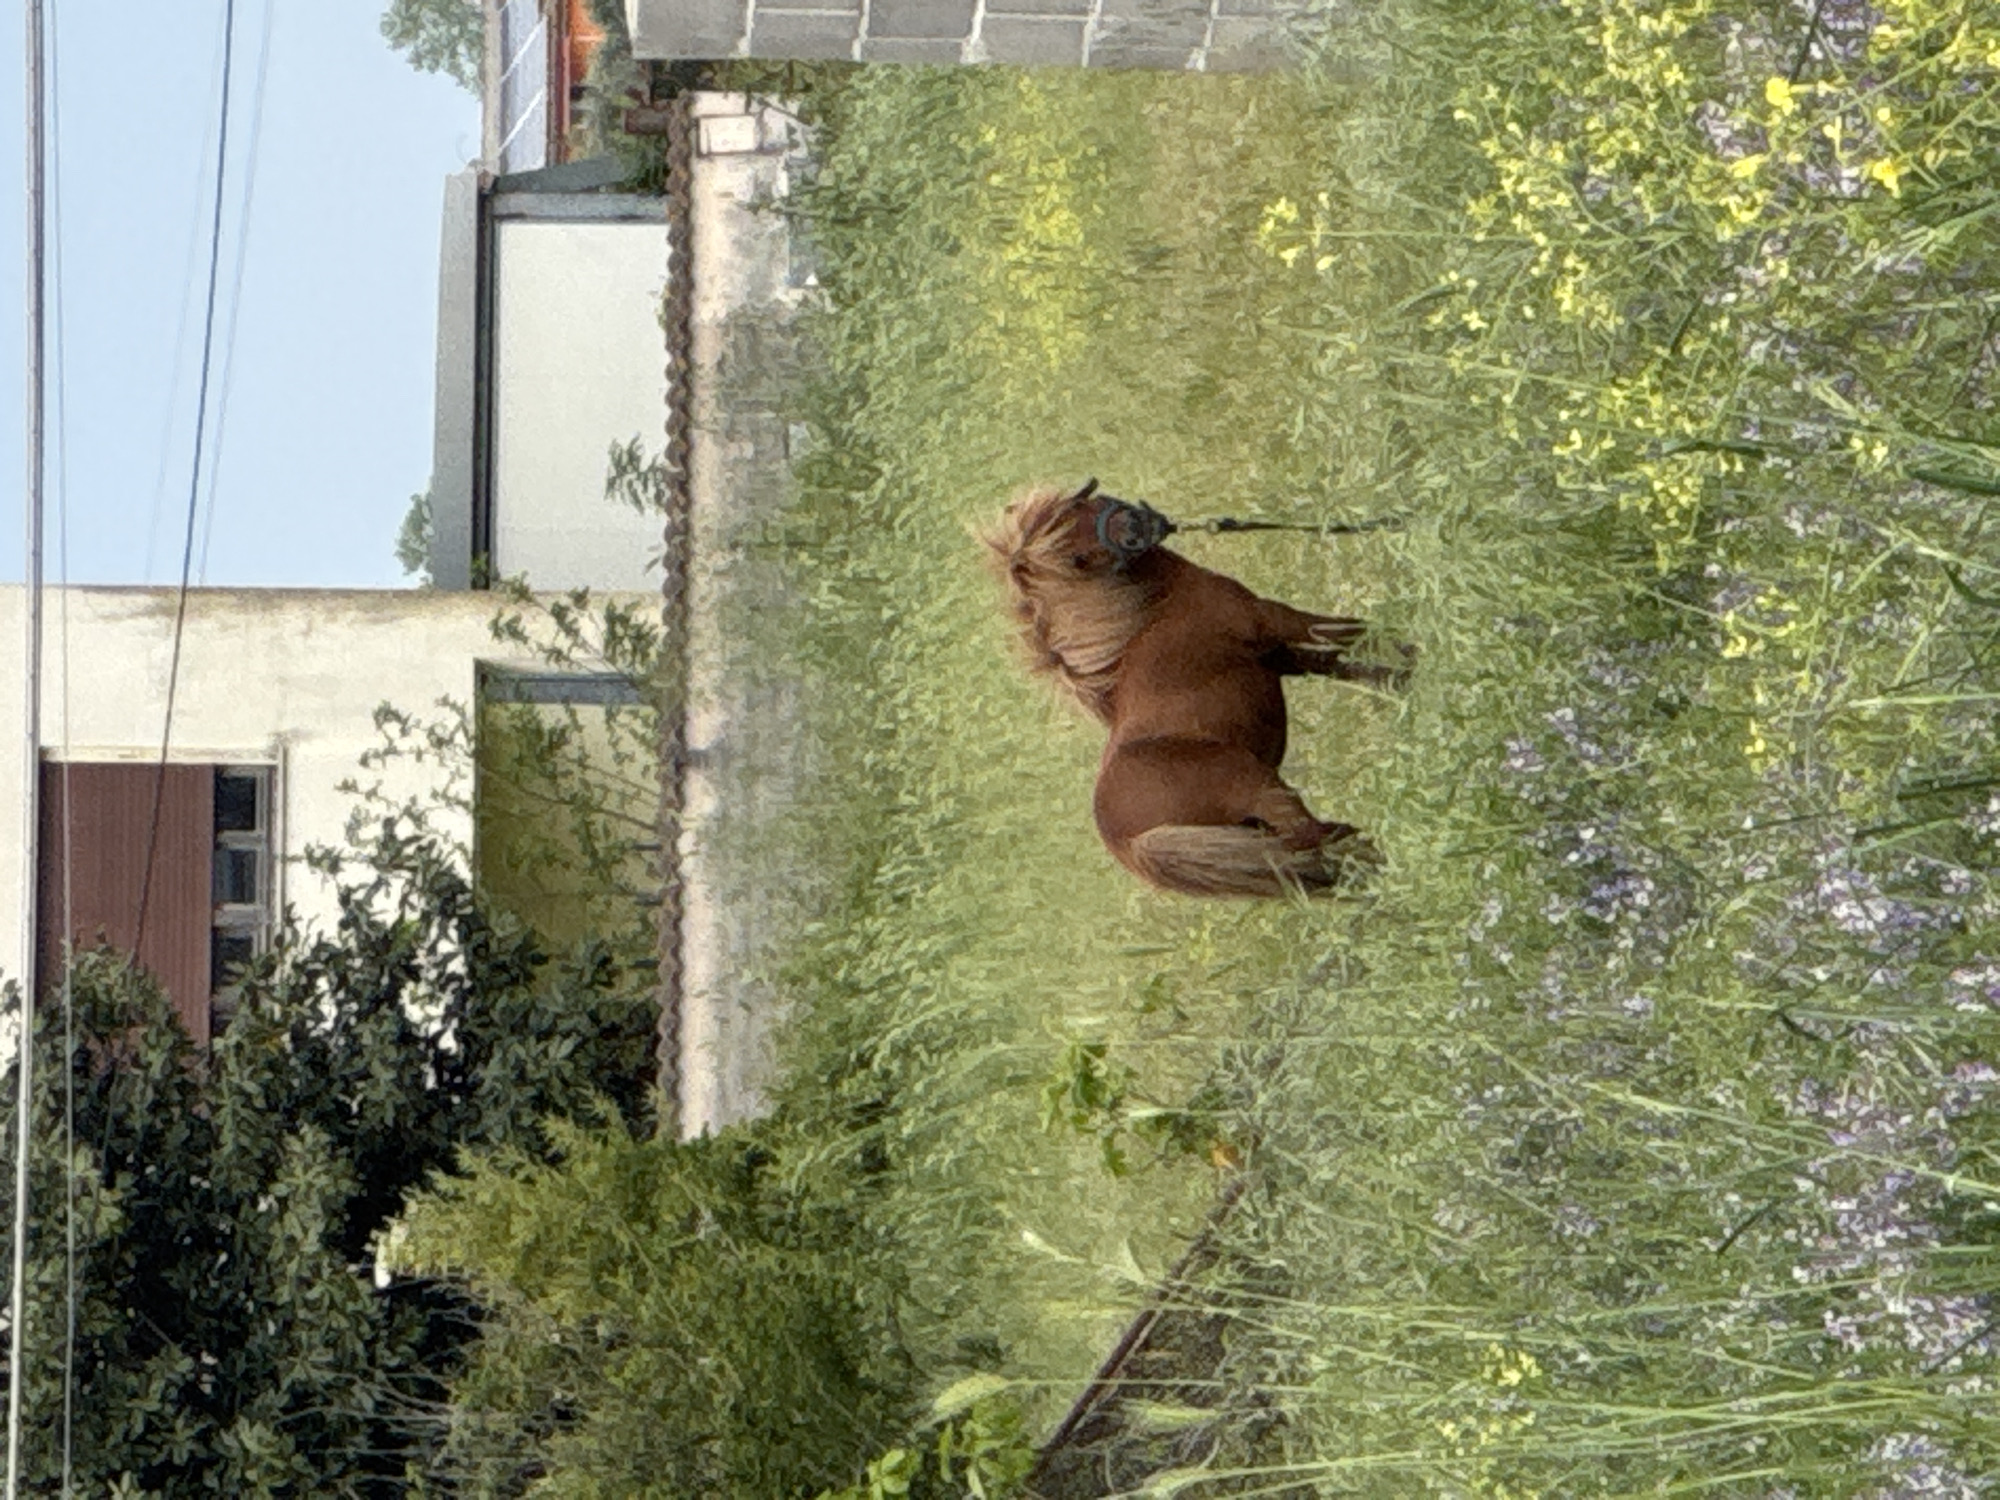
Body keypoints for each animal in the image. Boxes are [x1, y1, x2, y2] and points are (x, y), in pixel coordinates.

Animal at [983, 479, 1410, 897]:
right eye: (1078, 561)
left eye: (1078, 510)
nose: (1140, 526)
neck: (1147, 616)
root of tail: (1128, 843)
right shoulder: (1275, 621)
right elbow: (1349, 632)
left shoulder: (1280, 656)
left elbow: (1342, 663)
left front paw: (1399, 680)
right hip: (1256, 786)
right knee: (1309, 835)